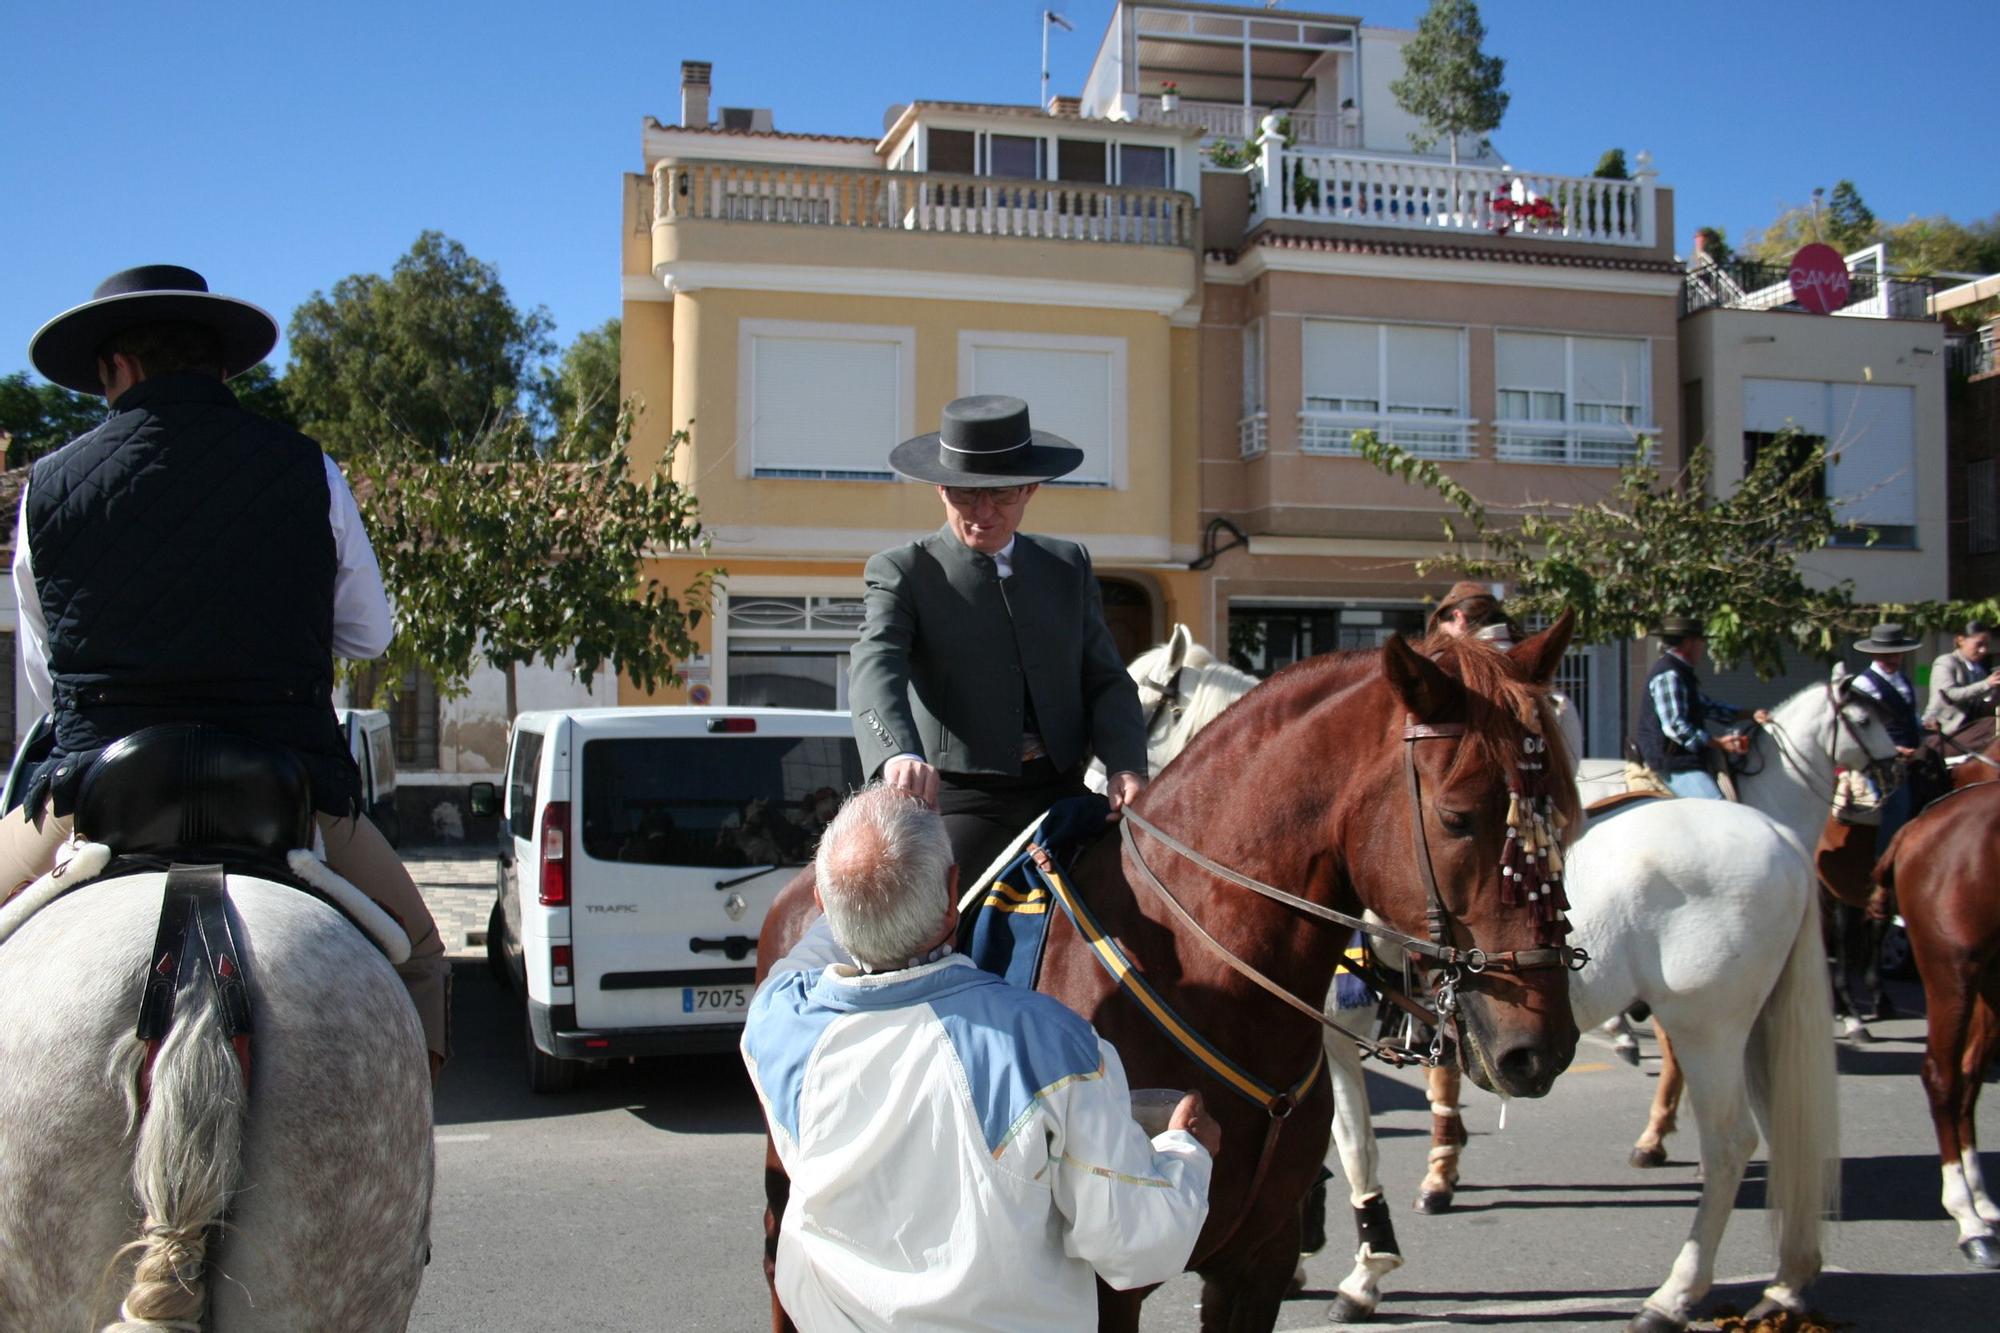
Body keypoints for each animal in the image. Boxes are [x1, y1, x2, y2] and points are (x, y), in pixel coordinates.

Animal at [752, 616, 1576, 1320]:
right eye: (1458, 817)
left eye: (1560, 816)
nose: (1542, 1047)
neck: (1217, 974)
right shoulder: (1112, 1279)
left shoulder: (1253, 1265)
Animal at [1120, 632, 1896, 1328]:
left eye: (1145, 699)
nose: (1895, 768)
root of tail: (1781, 840)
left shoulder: (1334, 1044)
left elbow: (1356, 1147)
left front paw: (1365, 1269)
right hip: (1752, 1023)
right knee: (1787, 1132)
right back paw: (1787, 1280)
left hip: (1709, 1025)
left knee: (1732, 1141)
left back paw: (1674, 1293)